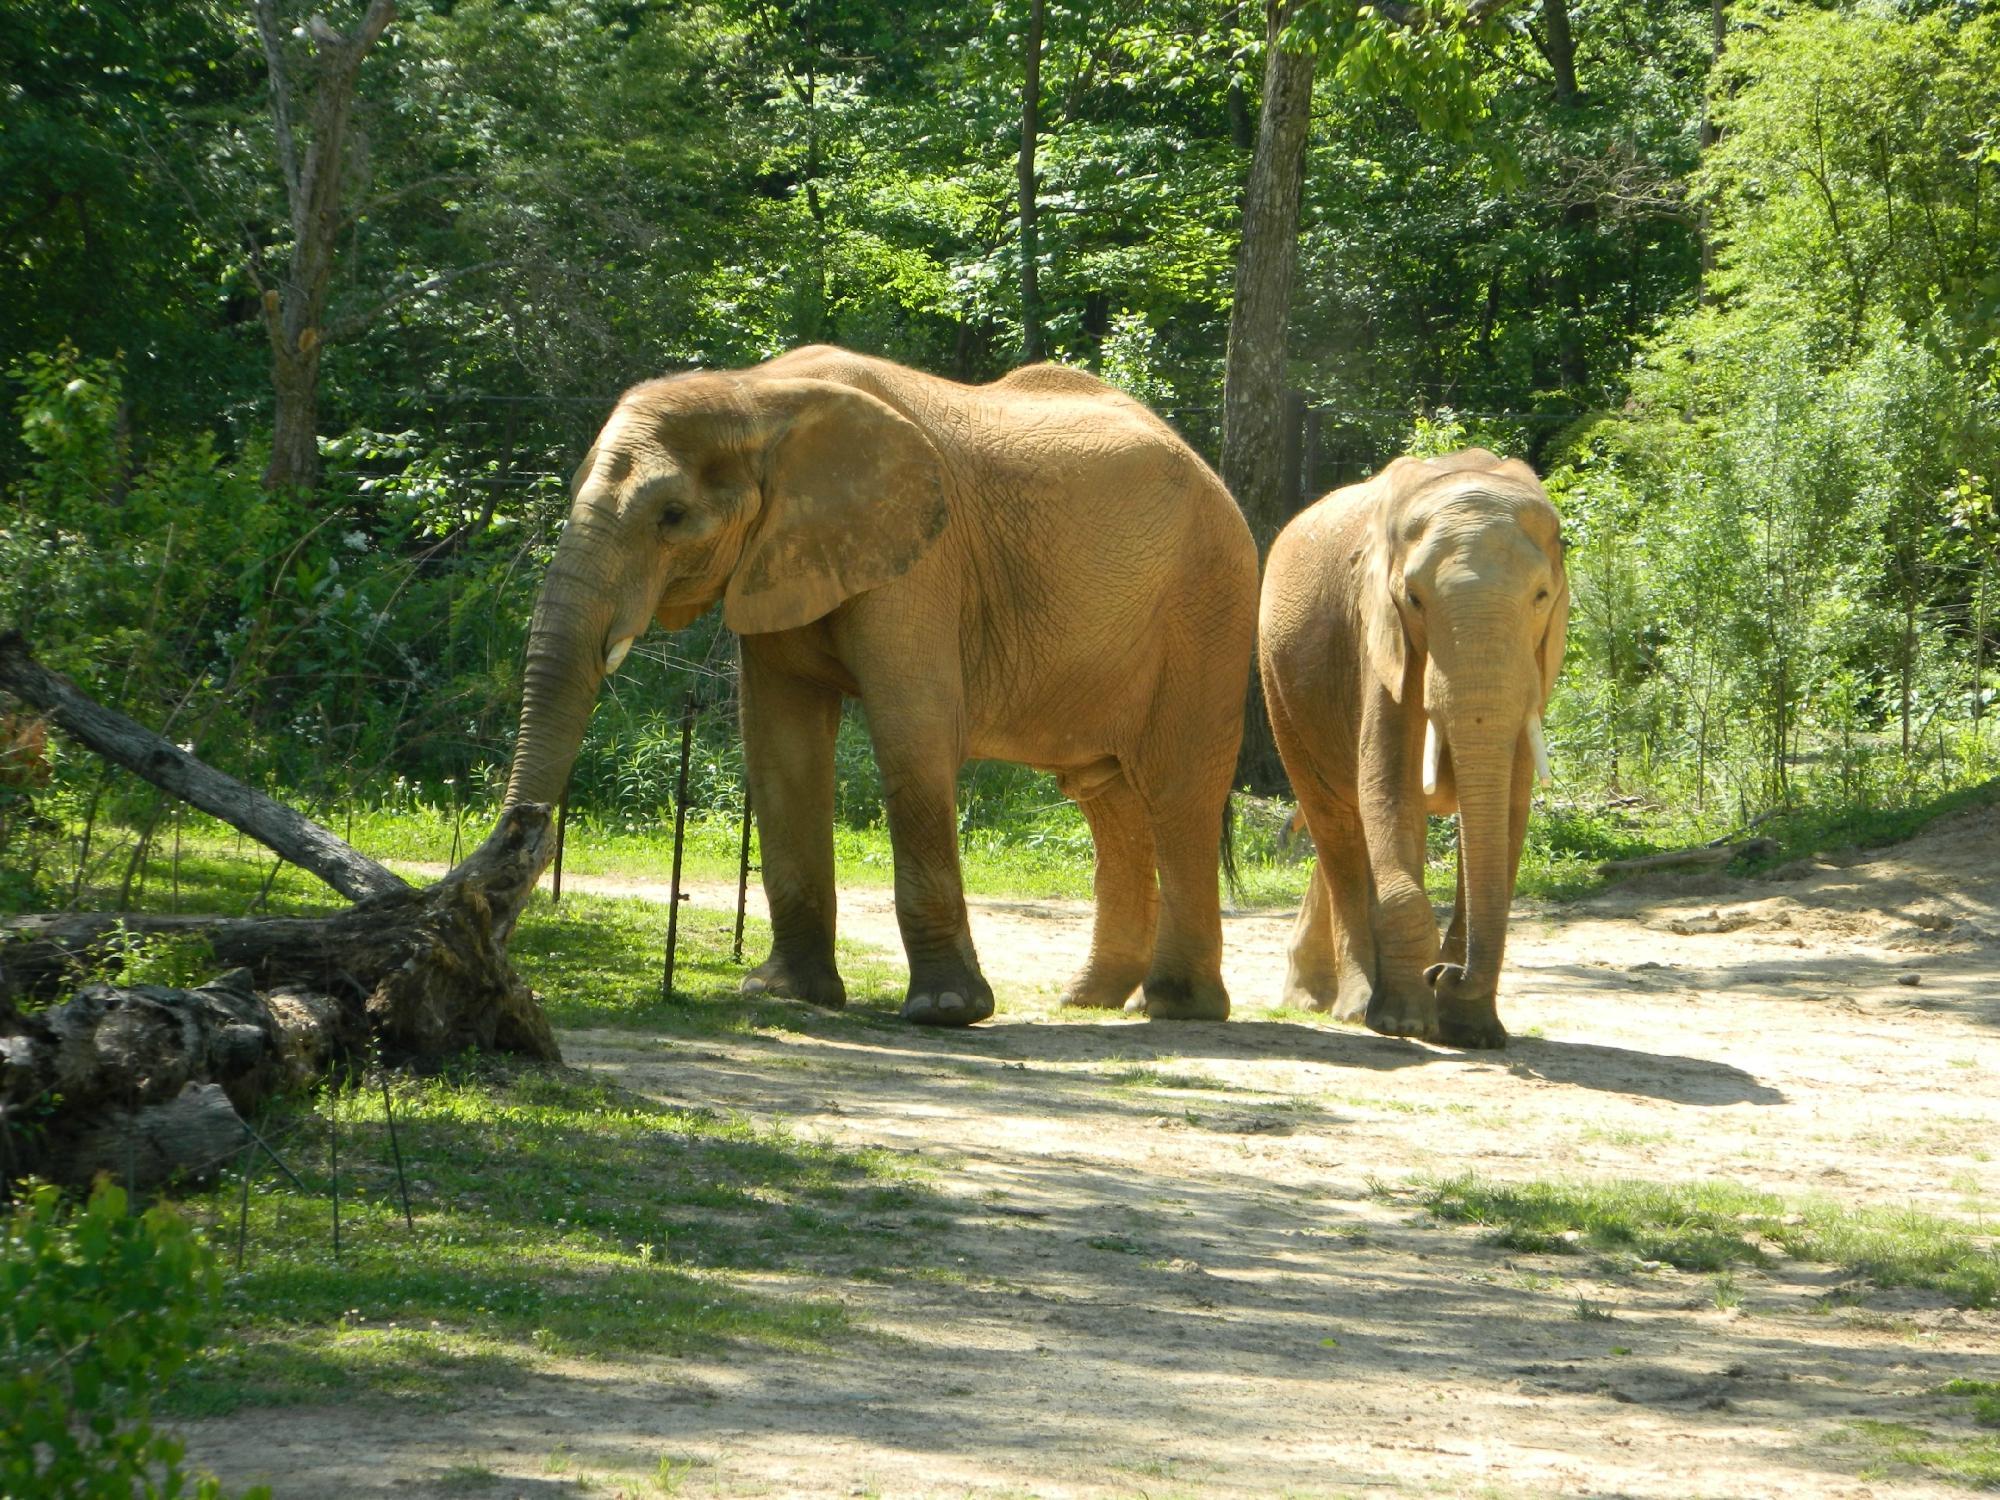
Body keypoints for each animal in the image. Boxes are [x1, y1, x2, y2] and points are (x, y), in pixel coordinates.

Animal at [504, 350, 1248, 1032]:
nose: (523, 831)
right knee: (1104, 794)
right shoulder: (780, 557)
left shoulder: (921, 559)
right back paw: (1088, 999)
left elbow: (912, 732)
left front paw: (946, 1012)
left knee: (1178, 789)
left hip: (1207, 603)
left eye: (673, 515)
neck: (755, 394)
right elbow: (781, 743)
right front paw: (785, 995)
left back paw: (1177, 1008)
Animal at [1256, 452, 1568, 1048]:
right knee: (1337, 826)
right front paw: (1405, 1023)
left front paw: (1474, 1034)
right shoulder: (1380, 640)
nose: (1444, 971)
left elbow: (1506, 811)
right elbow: (1390, 790)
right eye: (1415, 600)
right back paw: (1354, 1007)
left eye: (1541, 597)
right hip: (1278, 685)